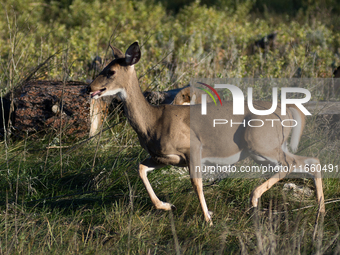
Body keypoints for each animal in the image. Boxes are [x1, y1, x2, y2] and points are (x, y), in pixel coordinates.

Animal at [89, 41, 324, 223]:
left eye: (110, 72)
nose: (90, 88)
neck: (152, 122)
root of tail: (288, 110)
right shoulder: (162, 156)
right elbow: (140, 168)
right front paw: (167, 206)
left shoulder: (193, 148)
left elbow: (197, 184)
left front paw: (208, 219)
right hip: (269, 147)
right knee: (311, 161)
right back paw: (320, 211)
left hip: (260, 143)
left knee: (289, 165)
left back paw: (255, 198)